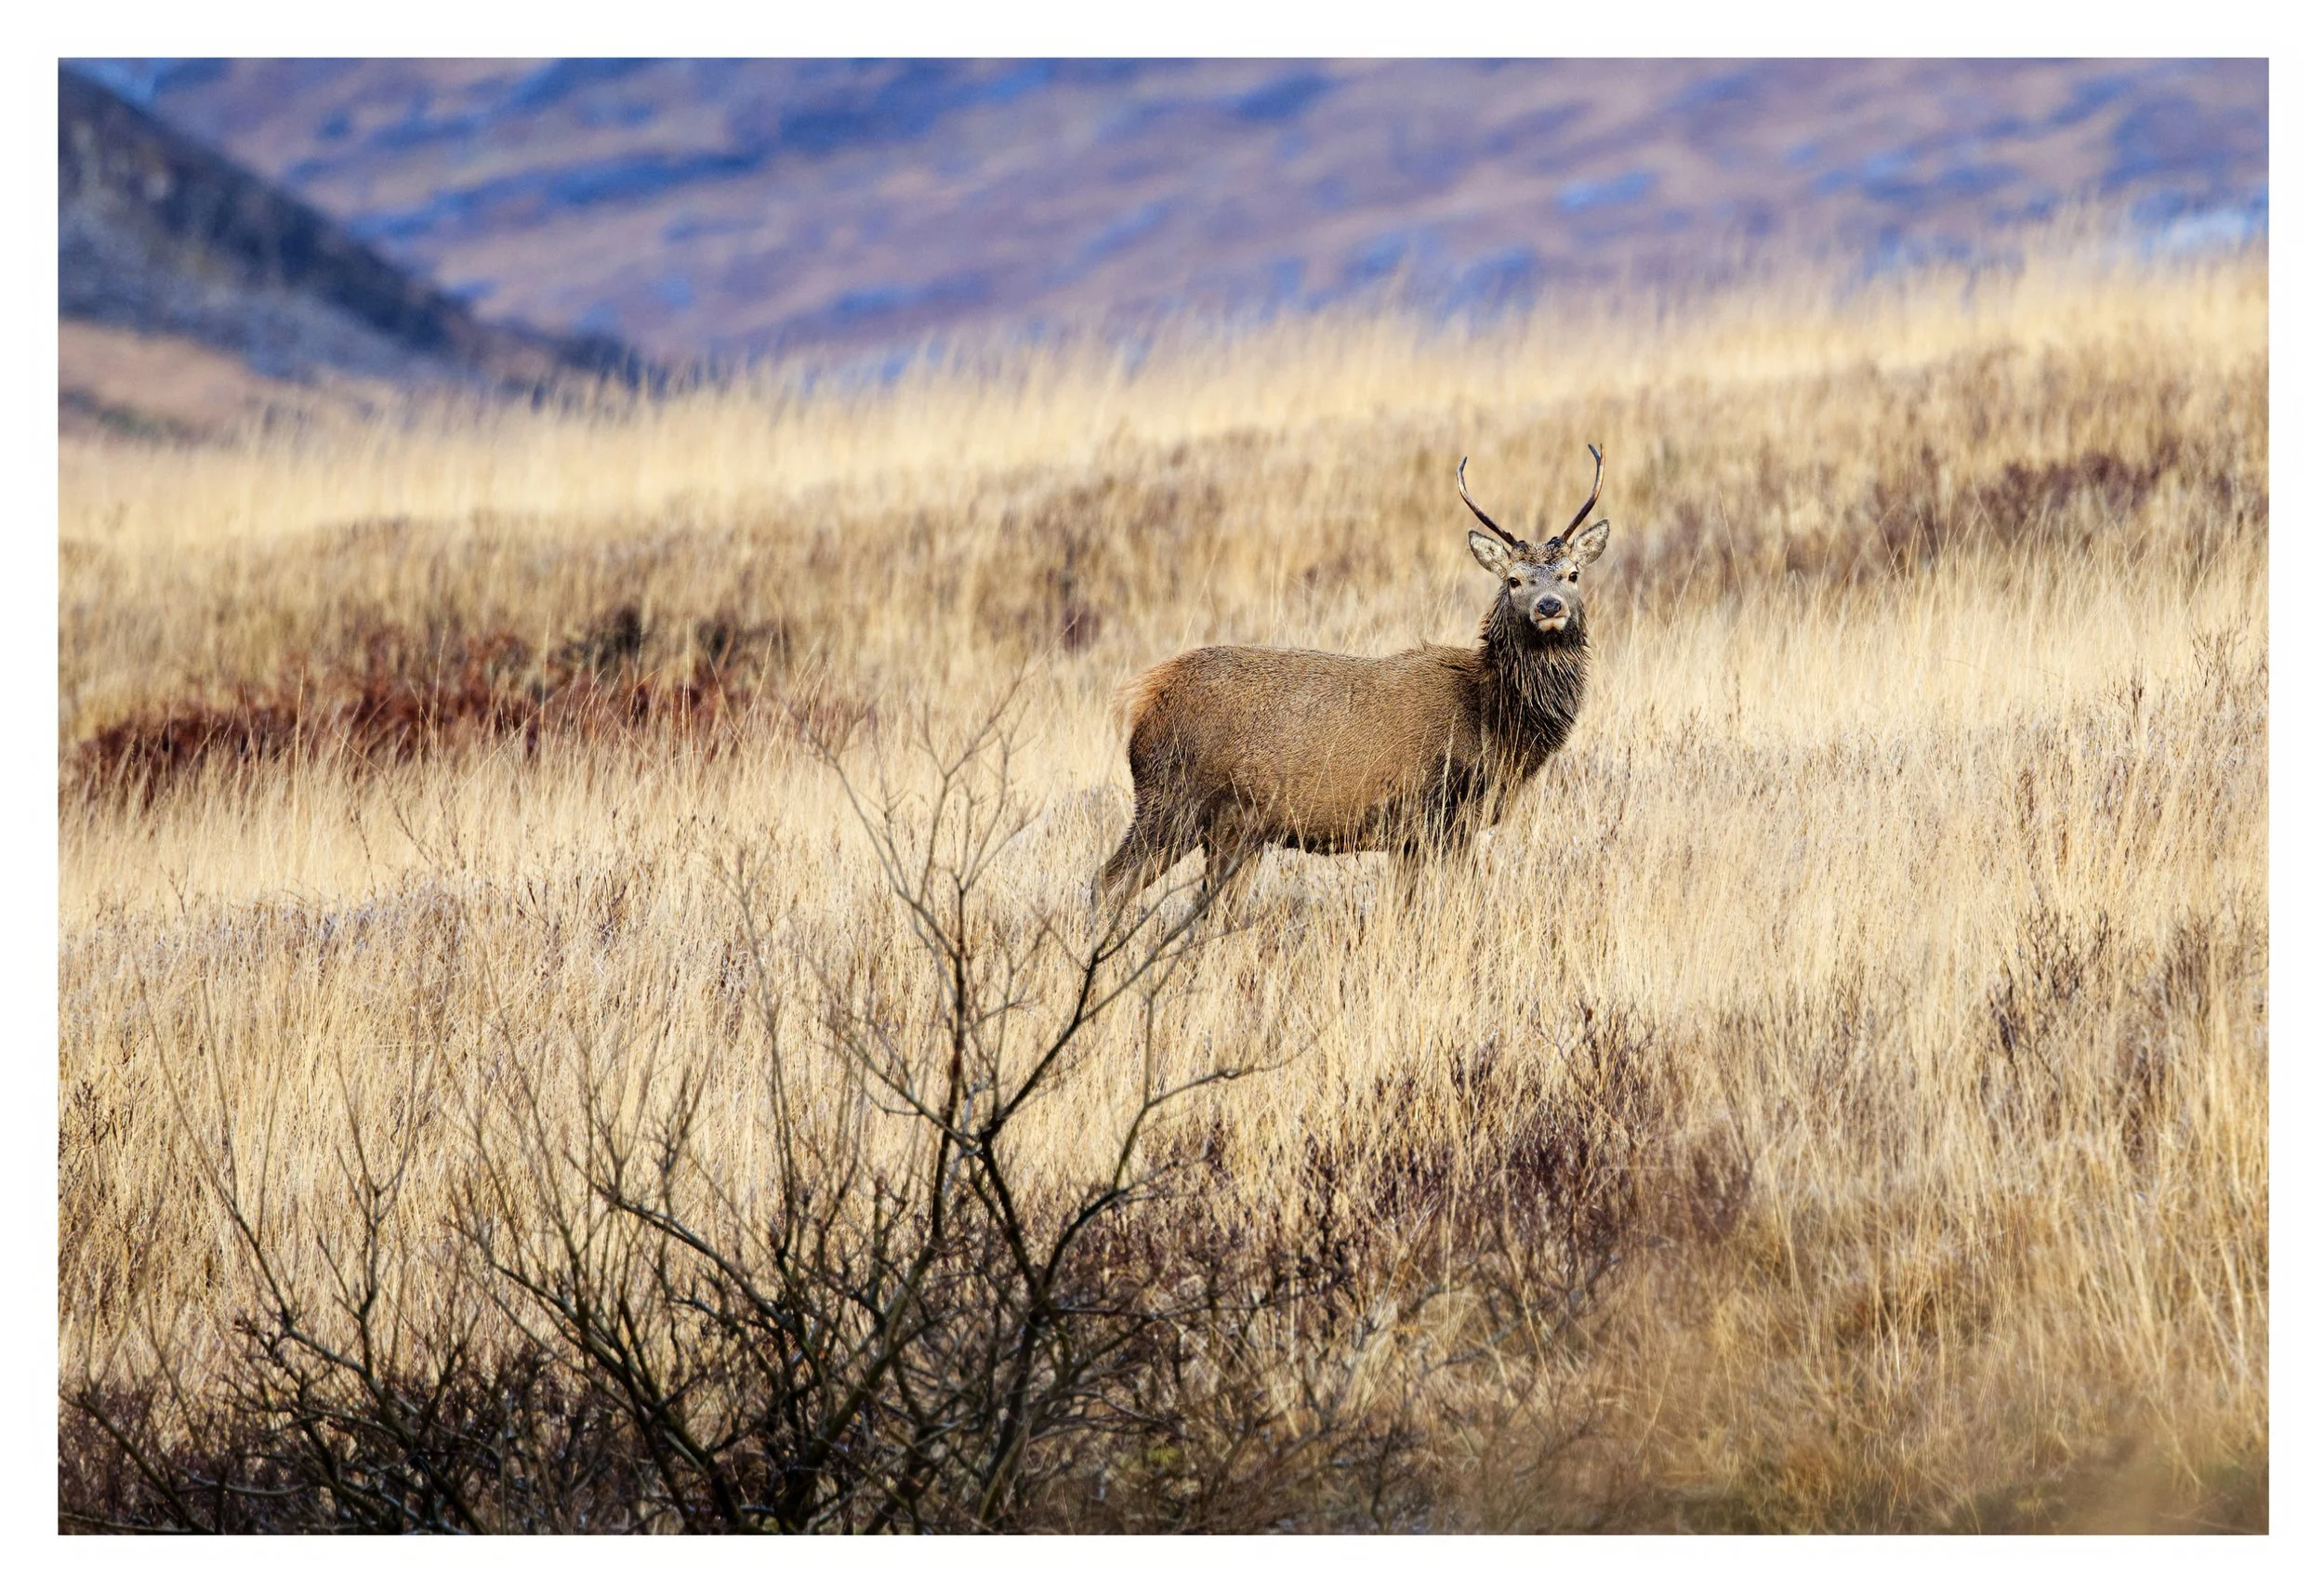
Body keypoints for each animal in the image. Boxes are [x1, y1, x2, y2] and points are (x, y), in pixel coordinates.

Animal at [1099, 445, 1611, 911]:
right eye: (1513, 580)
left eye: (1572, 573)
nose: (1549, 606)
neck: (1494, 720)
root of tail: (1139, 702)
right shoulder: (1436, 814)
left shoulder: (1416, 833)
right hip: (1175, 801)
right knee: (1109, 883)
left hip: (1228, 827)